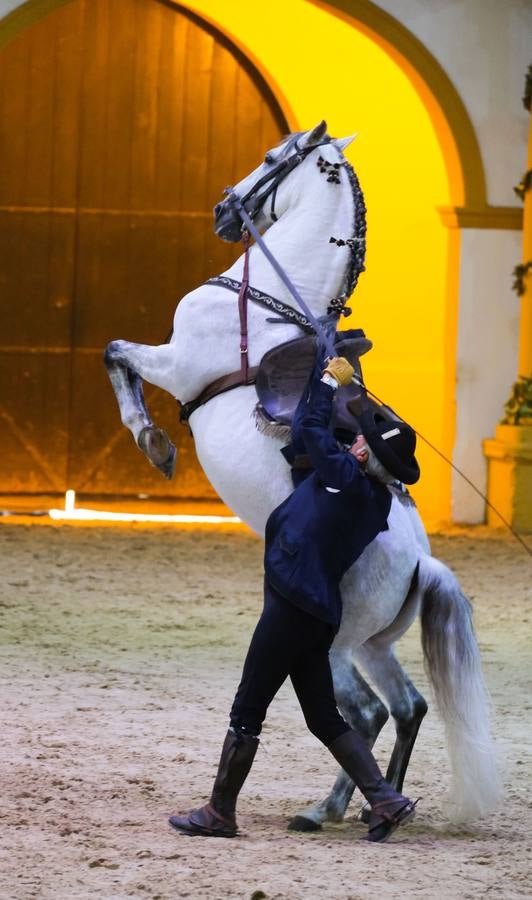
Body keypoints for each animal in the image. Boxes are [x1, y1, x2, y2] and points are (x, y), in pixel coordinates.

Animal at [103, 119, 498, 828]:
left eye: (269, 157)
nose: (223, 208)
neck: (271, 299)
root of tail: (424, 565)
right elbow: (116, 354)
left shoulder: (173, 362)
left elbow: (115, 354)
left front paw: (154, 444)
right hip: (371, 645)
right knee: (406, 707)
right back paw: (364, 808)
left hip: (334, 646)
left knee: (362, 713)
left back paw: (335, 809)